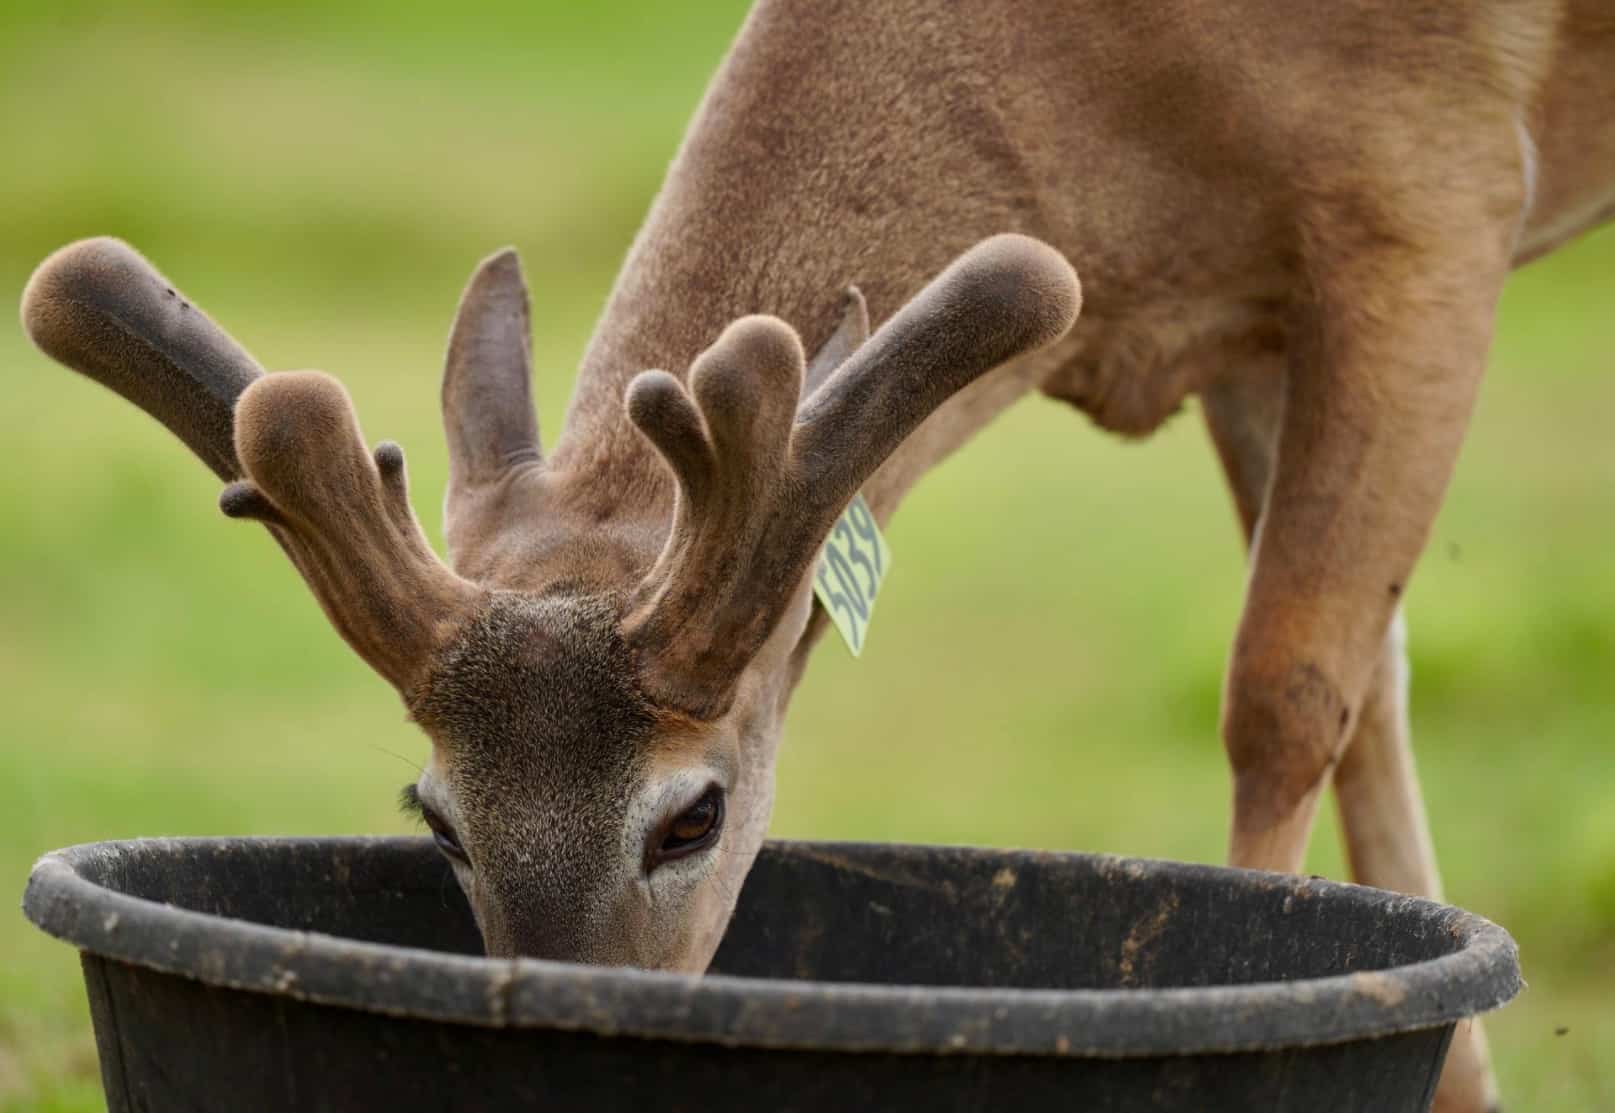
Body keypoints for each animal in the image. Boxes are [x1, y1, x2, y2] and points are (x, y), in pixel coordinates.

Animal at [20, 1, 1615, 1109]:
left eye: (691, 819)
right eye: (435, 817)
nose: (576, 1012)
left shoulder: (1427, 192)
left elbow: (1283, 692)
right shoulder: (1251, 316)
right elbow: (1373, 683)